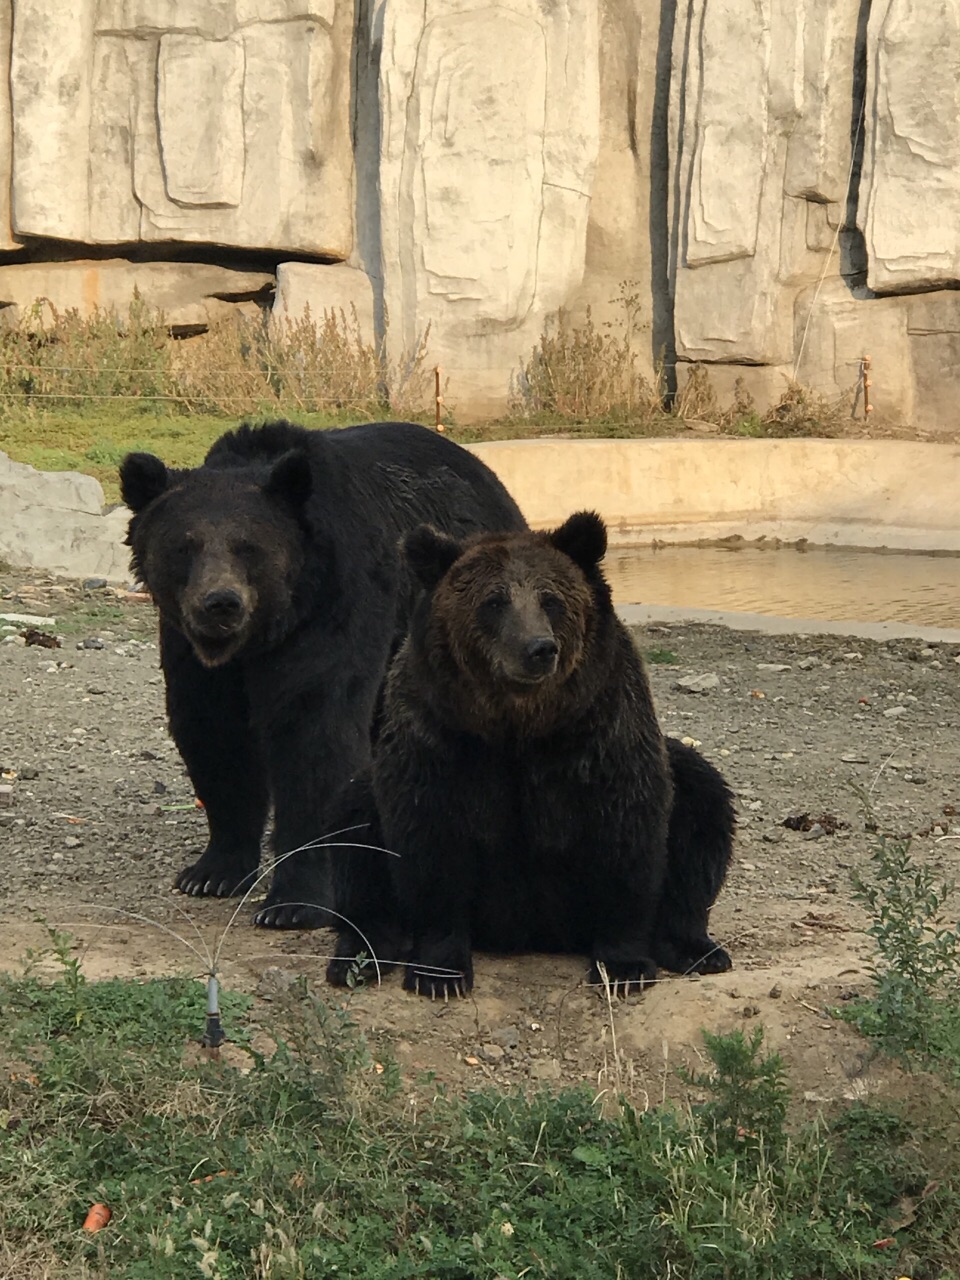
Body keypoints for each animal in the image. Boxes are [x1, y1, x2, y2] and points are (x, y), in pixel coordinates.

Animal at [120, 422, 529, 931]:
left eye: (248, 546)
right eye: (184, 545)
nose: (220, 603)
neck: (264, 634)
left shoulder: (335, 607)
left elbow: (313, 734)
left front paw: (294, 903)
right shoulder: (190, 650)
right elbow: (214, 731)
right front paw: (211, 872)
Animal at [325, 509, 737, 998]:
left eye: (550, 599)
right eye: (494, 601)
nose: (538, 648)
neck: (520, 725)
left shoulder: (598, 731)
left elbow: (627, 834)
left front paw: (624, 966)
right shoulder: (440, 737)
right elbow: (429, 841)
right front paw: (439, 973)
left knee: (702, 806)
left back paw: (695, 948)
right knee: (353, 823)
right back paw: (360, 954)